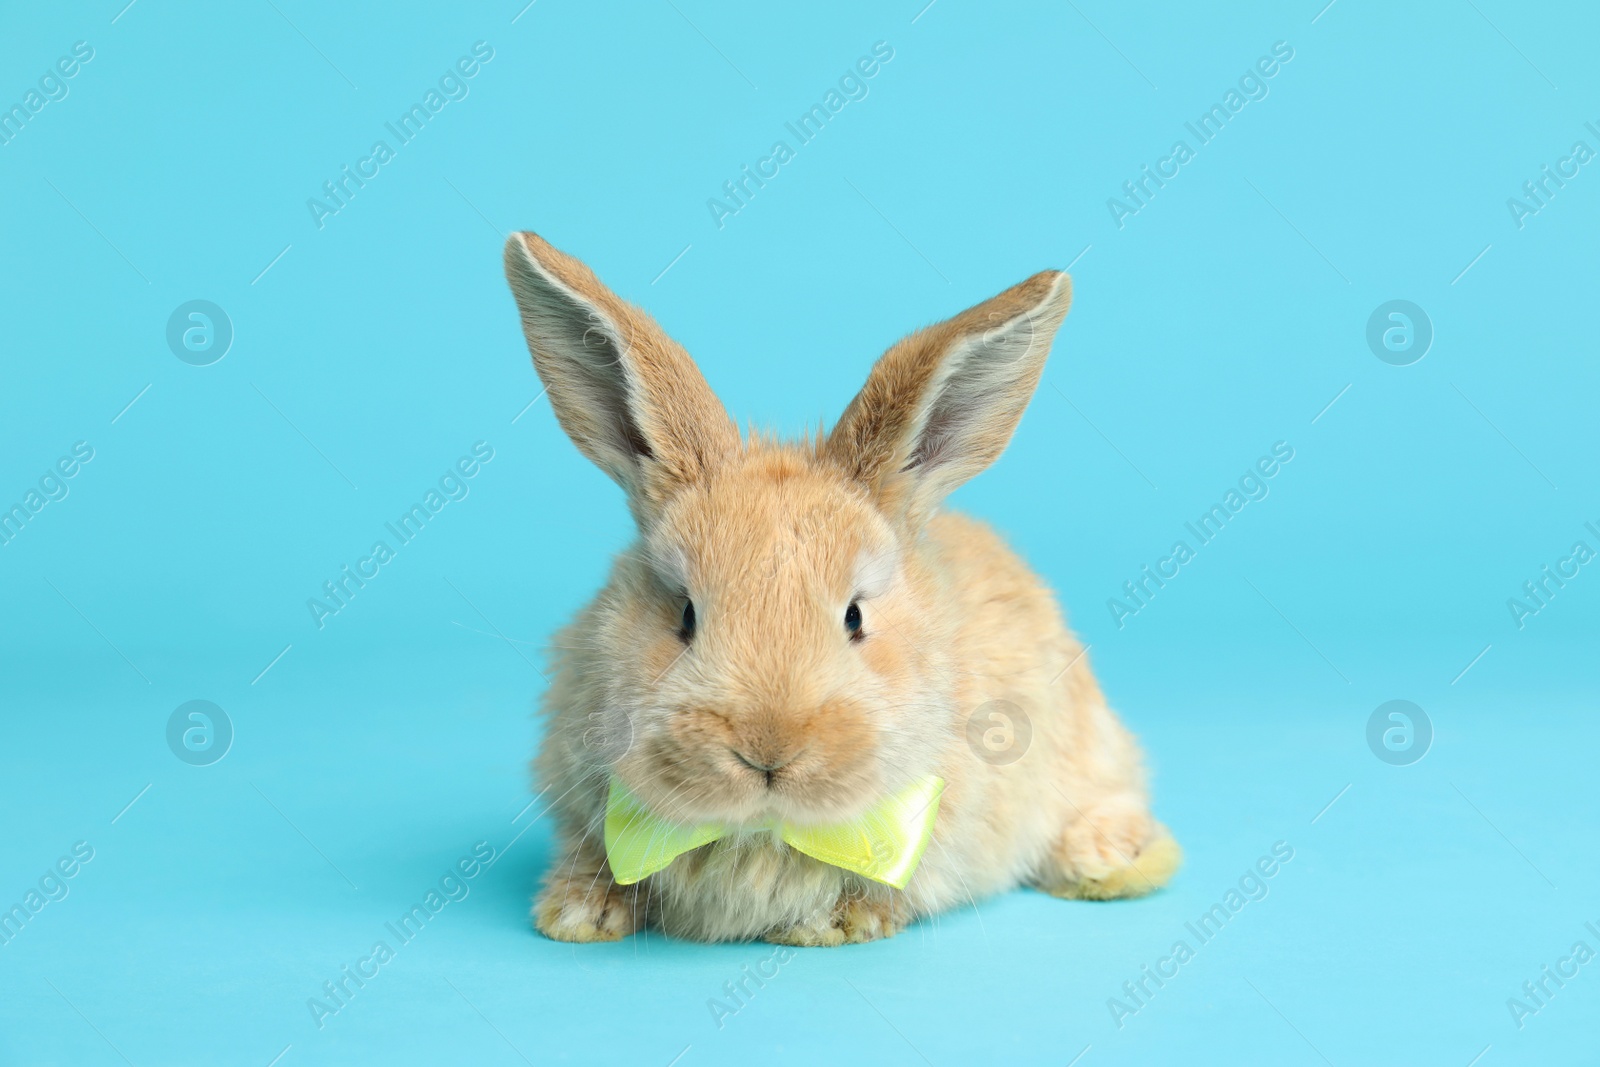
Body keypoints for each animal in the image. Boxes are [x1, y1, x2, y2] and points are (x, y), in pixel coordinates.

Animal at [499, 231, 1177, 940]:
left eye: (855, 617)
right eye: (685, 614)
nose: (768, 751)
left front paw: (831, 926)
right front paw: (576, 915)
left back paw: (1106, 860)